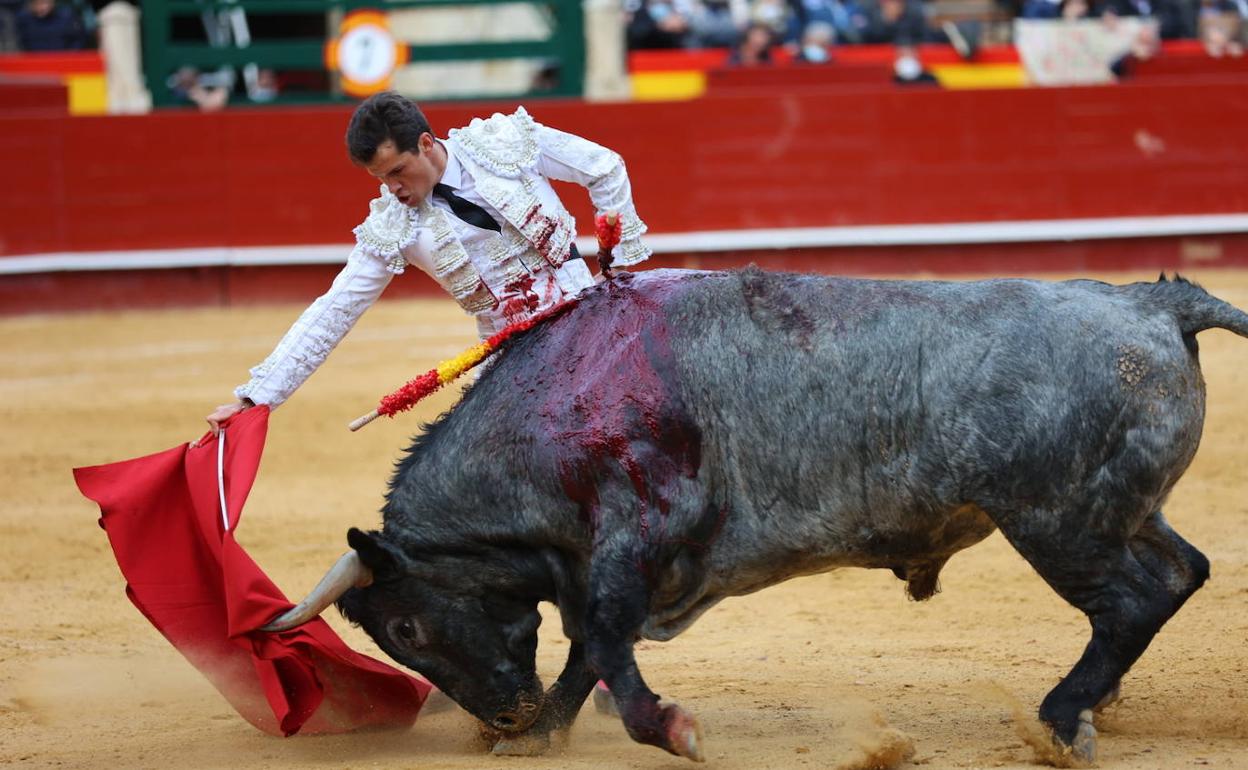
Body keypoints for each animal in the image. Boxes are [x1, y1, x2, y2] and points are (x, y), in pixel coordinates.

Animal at [265, 267, 1248, 758]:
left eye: (405, 626)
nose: (501, 717)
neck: (561, 399)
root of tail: (1154, 301)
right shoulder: (596, 566)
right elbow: (587, 650)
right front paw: (542, 737)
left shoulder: (634, 540)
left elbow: (607, 645)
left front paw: (670, 729)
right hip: (1122, 516)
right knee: (1180, 573)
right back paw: (1093, 705)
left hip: (1058, 524)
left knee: (1129, 602)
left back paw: (1061, 717)